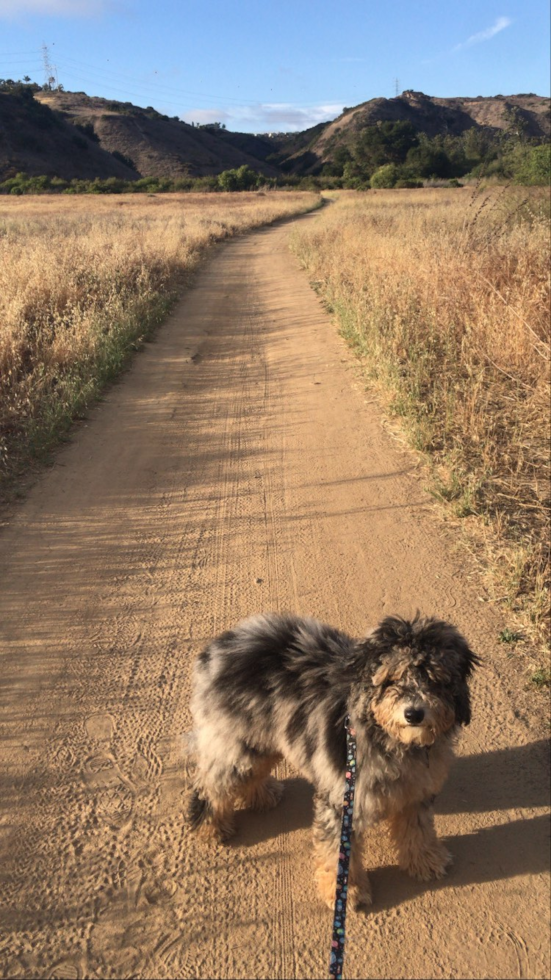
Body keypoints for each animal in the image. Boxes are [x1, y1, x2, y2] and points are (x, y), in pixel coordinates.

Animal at [185, 612, 478, 912]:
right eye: (391, 680)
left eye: (434, 679)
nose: (414, 713)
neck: (388, 738)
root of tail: (221, 647)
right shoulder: (342, 801)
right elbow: (339, 855)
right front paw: (347, 893)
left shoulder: (416, 793)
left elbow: (418, 830)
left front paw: (426, 861)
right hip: (237, 743)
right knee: (212, 784)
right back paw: (209, 827)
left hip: (260, 739)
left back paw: (262, 795)